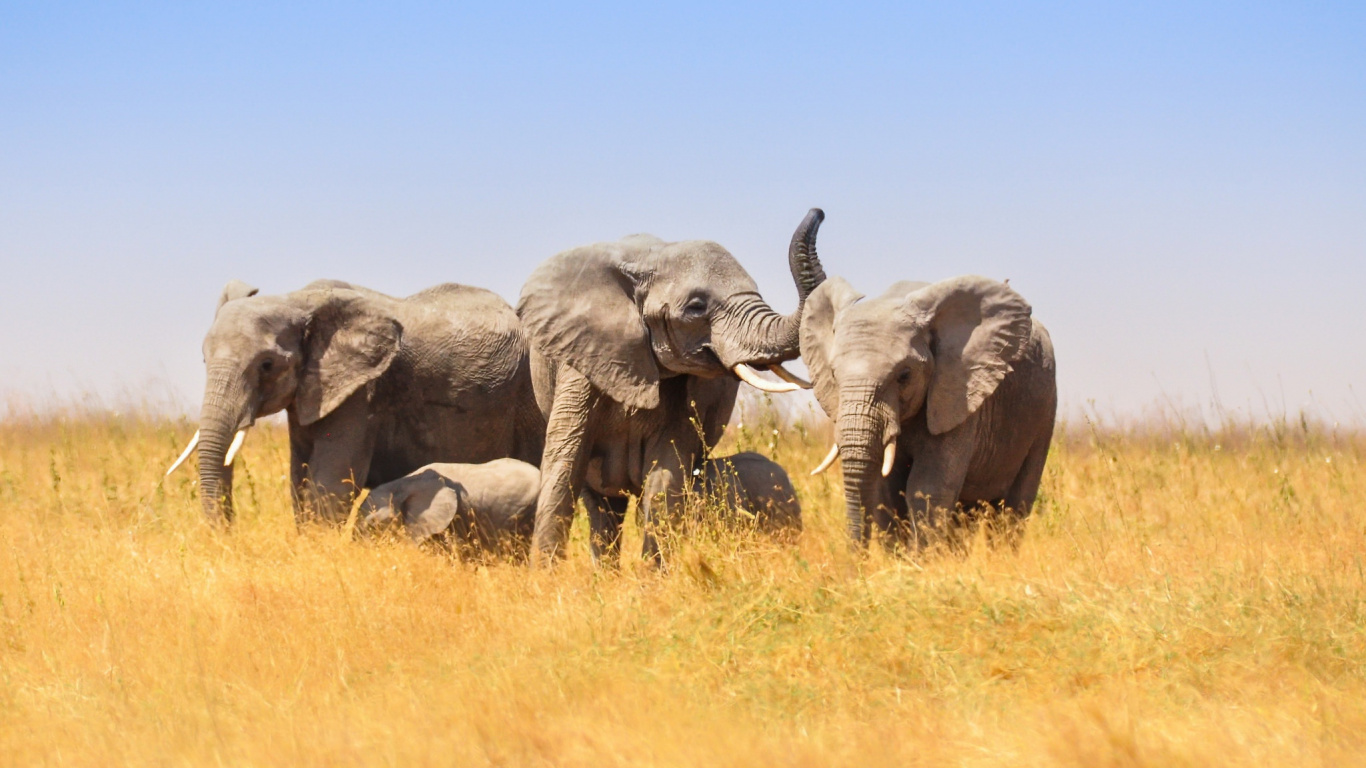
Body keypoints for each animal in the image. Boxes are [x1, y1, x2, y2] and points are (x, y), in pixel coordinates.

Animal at [167, 279, 546, 524]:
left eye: (267, 365)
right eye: (204, 359)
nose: (227, 532)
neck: (298, 300)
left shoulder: (362, 394)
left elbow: (329, 484)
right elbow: (300, 481)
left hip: (531, 393)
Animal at [518, 209, 828, 564]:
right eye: (696, 307)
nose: (818, 212)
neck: (650, 259)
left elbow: (666, 473)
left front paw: (653, 576)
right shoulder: (582, 357)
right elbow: (564, 462)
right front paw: (545, 575)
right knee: (601, 505)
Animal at [800, 275, 1056, 549]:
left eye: (904, 375)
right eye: (834, 375)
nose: (858, 557)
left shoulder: (958, 394)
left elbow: (928, 488)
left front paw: (923, 558)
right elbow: (888, 490)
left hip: (1044, 411)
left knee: (1014, 506)